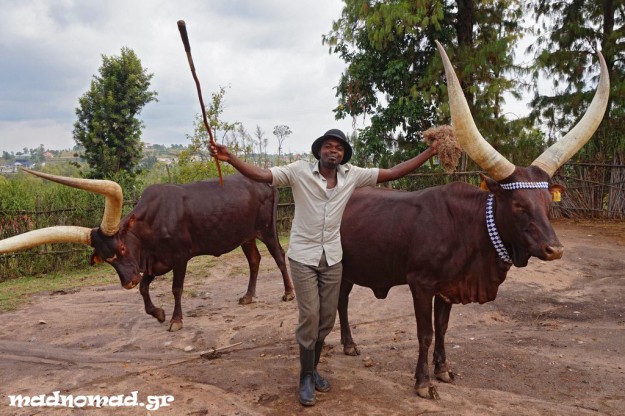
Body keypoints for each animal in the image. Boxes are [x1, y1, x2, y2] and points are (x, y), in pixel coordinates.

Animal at [0, 173, 296, 332]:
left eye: (121, 247)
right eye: (106, 260)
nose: (126, 282)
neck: (150, 223)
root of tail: (268, 182)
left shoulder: (179, 258)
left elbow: (177, 289)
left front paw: (175, 320)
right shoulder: (154, 262)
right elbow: (144, 289)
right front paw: (158, 313)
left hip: (267, 230)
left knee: (279, 256)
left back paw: (288, 293)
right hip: (245, 236)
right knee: (255, 260)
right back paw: (248, 296)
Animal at [334, 42, 608, 400]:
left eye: (549, 203)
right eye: (518, 204)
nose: (555, 250)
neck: (470, 228)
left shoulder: (448, 287)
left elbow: (442, 328)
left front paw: (443, 370)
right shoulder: (421, 283)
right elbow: (424, 333)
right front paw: (423, 383)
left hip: (350, 269)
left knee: (341, 299)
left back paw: (348, 344)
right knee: (338, 301)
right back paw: (348, 344)